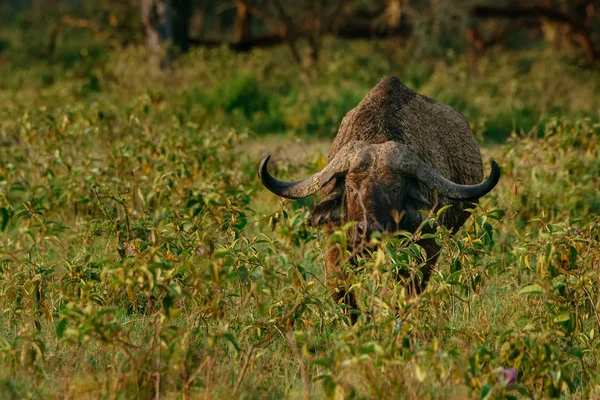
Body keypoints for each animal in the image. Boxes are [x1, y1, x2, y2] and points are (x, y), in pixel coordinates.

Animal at [260, 75, 500, 312]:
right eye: (350, 188)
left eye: (395, 188)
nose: (368, 230)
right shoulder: (336, 241)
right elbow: (341, 291)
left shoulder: (425, 246)